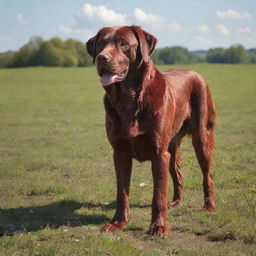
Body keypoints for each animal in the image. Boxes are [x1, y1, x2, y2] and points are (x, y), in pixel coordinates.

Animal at [86, 26, 216, 236]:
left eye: (123, 44)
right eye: (100, 44)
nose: (101, 58)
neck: (129, 100)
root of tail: (195, 73)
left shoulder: (158, 153)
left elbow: (158, 194)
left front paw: (158, 226)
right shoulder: (120, 153)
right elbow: (122, 192)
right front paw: (117, 223)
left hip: (201, 137)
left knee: (207, 175)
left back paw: (209, 205)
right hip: (170, 147)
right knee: (177, 174)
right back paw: (177, 201)